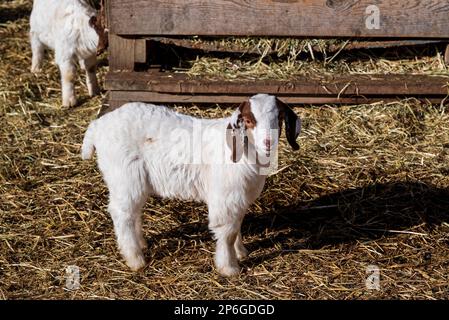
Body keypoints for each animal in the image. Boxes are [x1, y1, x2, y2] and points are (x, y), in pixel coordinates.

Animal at [80, 94, 300, 276]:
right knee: (121, 214)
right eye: (248, 120)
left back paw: (141, 244)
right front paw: (229, 268)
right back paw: (135, 259)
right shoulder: (225, 198)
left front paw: (241, 252)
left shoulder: (238, 198)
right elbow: (227, 233)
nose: (268, 142)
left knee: (133, 211)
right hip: (124, 176)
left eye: (279, 118)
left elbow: (237, 225)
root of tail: (97, 126)